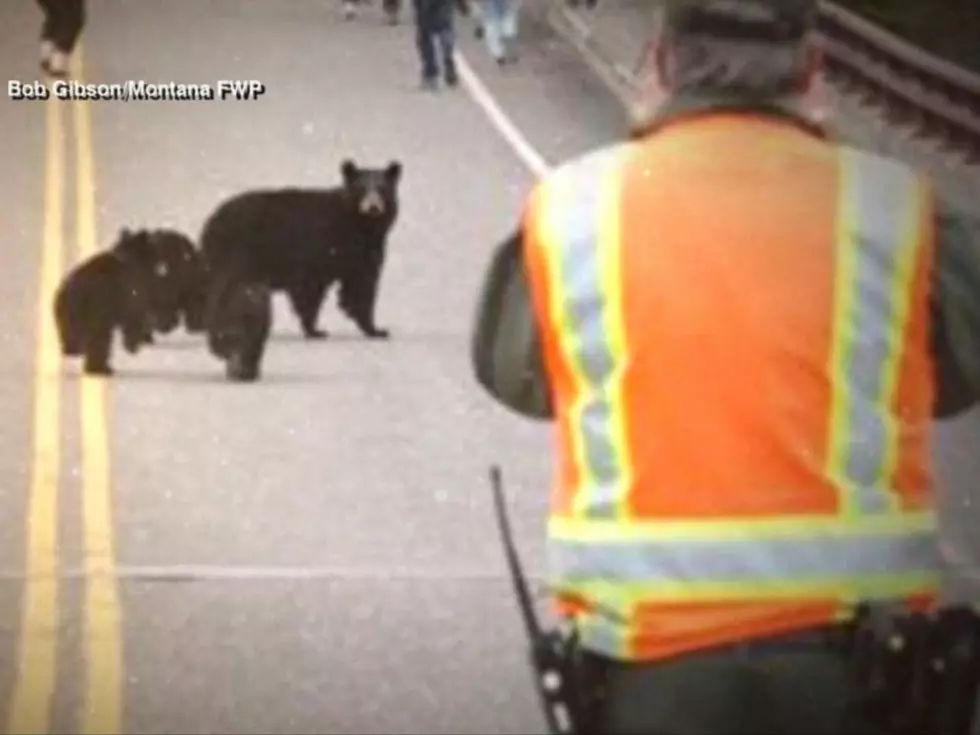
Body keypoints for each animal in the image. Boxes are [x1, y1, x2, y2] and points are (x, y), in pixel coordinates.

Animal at [53, 229, 162, 376]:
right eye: (153, 248)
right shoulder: (131, 292)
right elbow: (135, 317)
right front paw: (136, 343)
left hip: (66, 312)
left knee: (72, 336)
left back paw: (73, 351)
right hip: (96, 310)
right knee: (101, 339)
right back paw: (102, 368)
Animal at [199, 160, 402, 340]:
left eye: (382, 189)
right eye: (362, 189)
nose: (373, 207)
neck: (360, 227)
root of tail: (210, 222)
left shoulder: (363, 252)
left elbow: (361, 285)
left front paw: (376, 330)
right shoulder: (318, 248)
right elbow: (310, 289)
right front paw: (316, 330)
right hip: (236, 254)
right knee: (223, 289)